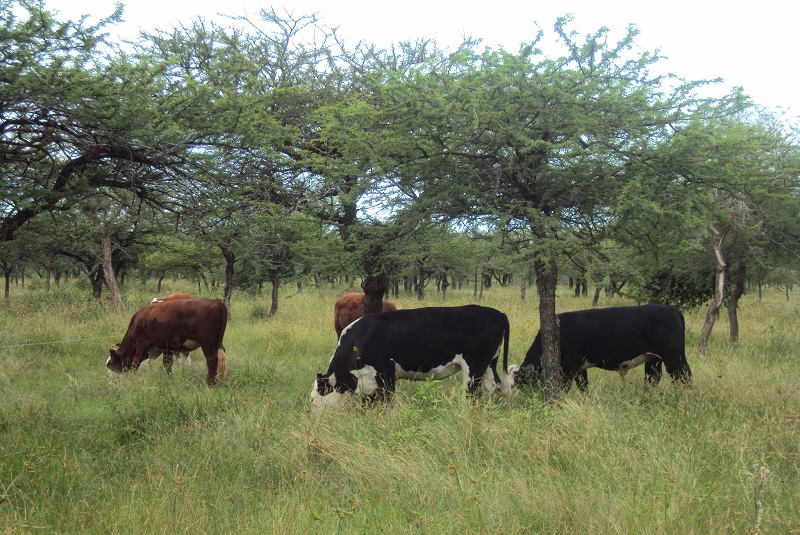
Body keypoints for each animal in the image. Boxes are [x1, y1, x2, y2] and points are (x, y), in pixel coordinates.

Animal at [310, 306, 510, 410]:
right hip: (489, 363)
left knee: (471, 393)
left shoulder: (385, 373)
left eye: (313, 400)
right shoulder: (368, 381)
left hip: (474, 366)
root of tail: (496, 312)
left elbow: (386, 400)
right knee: (493, 385)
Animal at [510, 306, 692, 394]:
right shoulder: (580, 369)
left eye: (519, 384)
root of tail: (671, 308)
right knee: (653, 378)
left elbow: (563, 388)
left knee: (684, 377)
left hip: (674, 357)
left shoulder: (569, 367)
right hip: (654, 359)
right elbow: (583, 387)